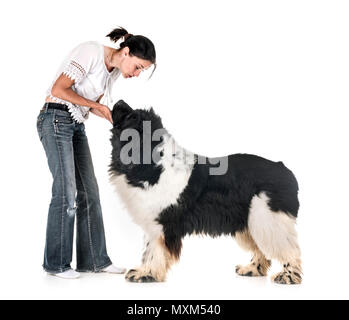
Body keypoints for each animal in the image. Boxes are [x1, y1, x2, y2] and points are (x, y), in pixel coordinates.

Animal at [109, 100, 302, 284]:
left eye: (131, 116)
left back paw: (288, 276)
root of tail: (283, 168)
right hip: (250, 221)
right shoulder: (153, 223)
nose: (119, 101)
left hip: (267, 218)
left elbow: (153, 251)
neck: (154, 163)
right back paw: (252, 269)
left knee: (289, 249)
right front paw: (145, 272)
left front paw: (147, 274)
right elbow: (149, 250)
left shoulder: (162, 224)